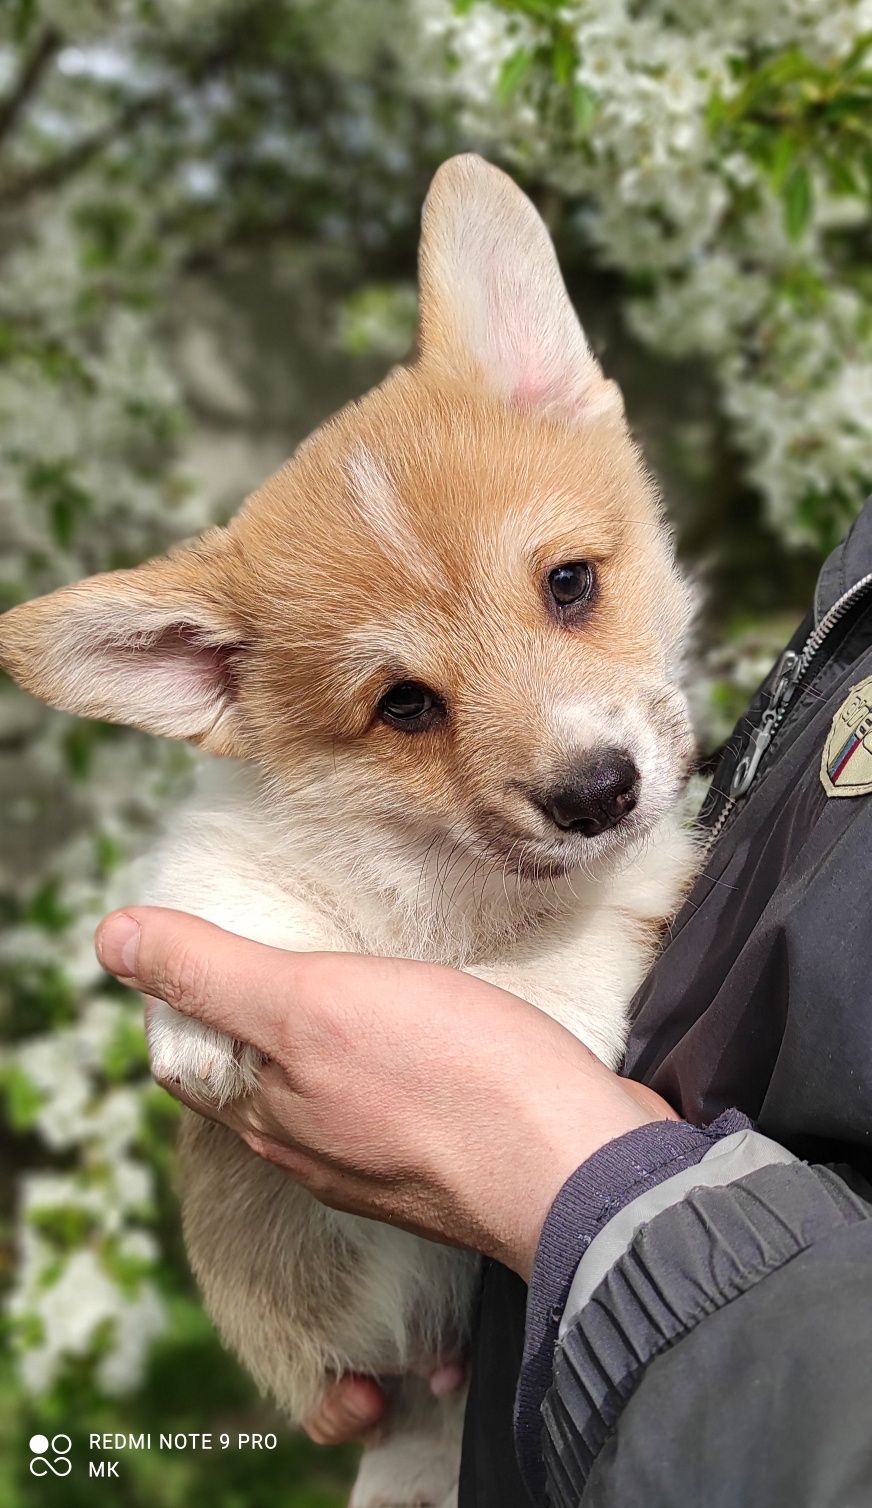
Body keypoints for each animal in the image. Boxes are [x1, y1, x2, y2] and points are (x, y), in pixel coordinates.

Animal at [0, 156, 693, 1508]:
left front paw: (525, 995)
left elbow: (574, 944)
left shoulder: (643, 869)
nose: (595, 791)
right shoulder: (236, 832)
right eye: (403, 705)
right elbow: (220, 879)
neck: (456, 875)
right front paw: (198, 1023)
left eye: (569, 583)